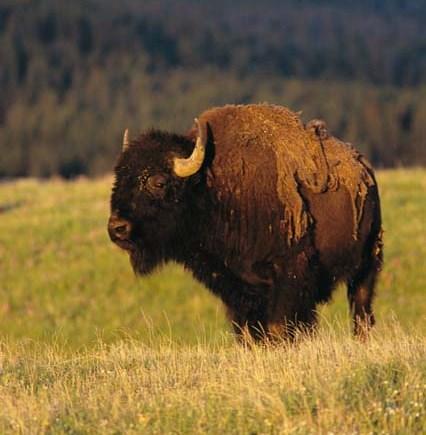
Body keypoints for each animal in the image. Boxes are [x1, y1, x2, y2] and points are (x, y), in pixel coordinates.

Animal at [107, 104, 382, 342]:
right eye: (118, 178)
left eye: (159, 182)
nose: (117, 228)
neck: (211, 186)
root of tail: (364, 168)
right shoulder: (234, 286)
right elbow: (248, 332)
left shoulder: (288, 273)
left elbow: (278, 327)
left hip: (367, 264)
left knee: (361, 309)